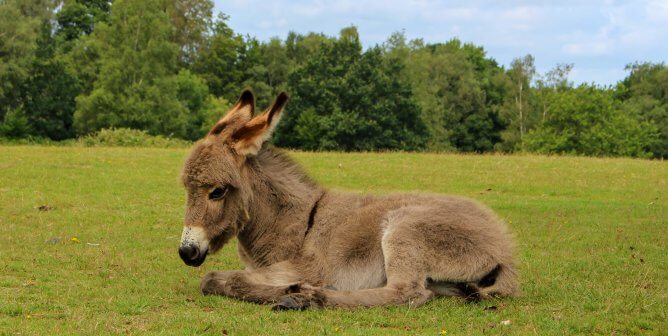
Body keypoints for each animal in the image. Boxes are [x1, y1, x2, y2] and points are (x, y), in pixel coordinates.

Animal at [176, 90, 516, 310]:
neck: (294, 221)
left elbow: (217, 279)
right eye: (187, 189)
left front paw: (293, 289)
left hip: (407, 230)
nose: (186, 252)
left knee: (407, 294)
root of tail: (504, 247)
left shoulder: (307, 267)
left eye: (217, 191)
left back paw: (308, 298)